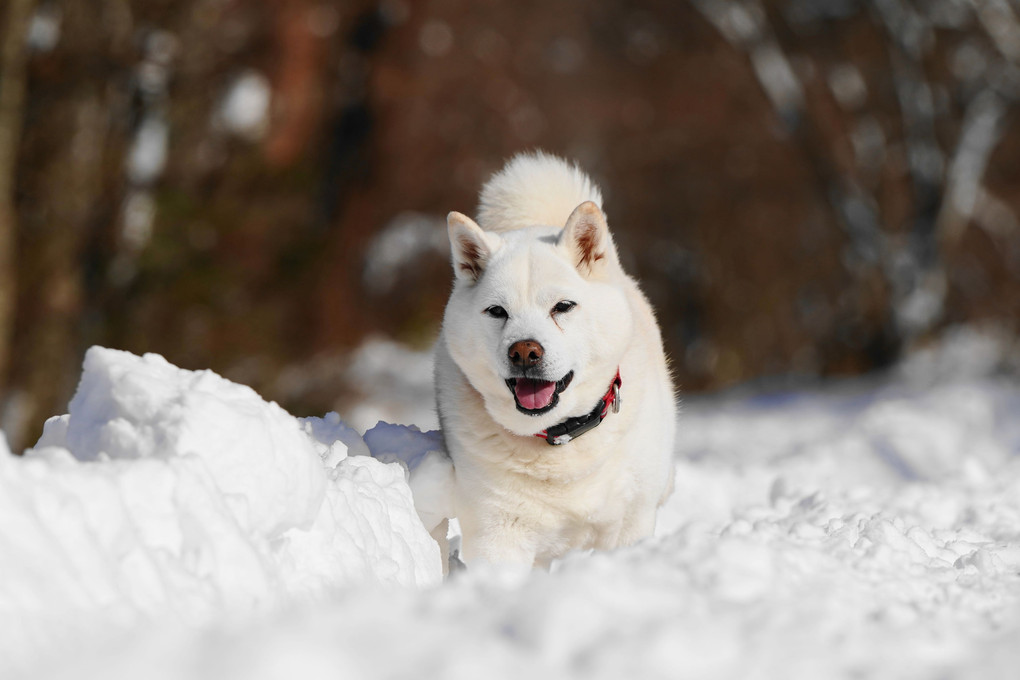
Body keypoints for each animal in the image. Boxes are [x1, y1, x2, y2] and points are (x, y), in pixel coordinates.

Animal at [432, 149, 677, 570]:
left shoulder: (631, 523)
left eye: (563, 306)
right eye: (497, 311)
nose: (524, 352)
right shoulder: (498, 534)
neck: (561, 440)